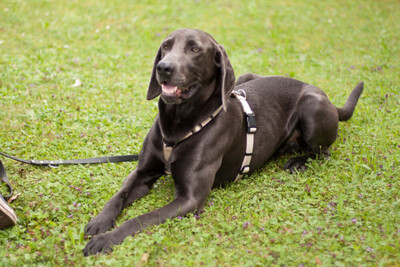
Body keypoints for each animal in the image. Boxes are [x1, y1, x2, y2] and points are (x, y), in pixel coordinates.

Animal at [83, 28, 364, 256]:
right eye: (165, 45)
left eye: (195, 49)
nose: (163, 67)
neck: (177, 125)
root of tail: (327, 99)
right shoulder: (142, 173)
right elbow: (118, 195)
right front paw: (100, 222)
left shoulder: (190, 199)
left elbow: (141, 218)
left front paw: (106, 239)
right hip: (244, 78)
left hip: (312, 106)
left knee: (323, 151)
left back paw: (299, 161)